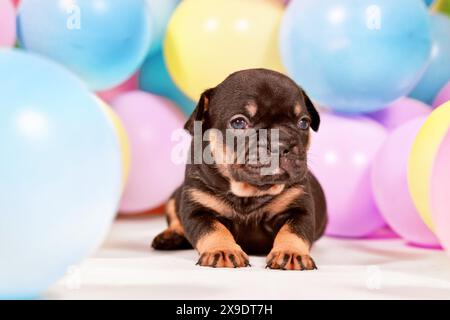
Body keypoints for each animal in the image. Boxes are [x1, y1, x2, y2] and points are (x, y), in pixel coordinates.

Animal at [151, 68, 326, 270]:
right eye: (238, 123)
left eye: (303, 123)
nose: (280, 144)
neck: (248, 193)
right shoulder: (198, 208)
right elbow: (213, 229)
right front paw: (223, 250)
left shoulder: (299, 209)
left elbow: (293, 231)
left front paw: (291, 253)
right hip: (174, 196)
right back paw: (172, 235)